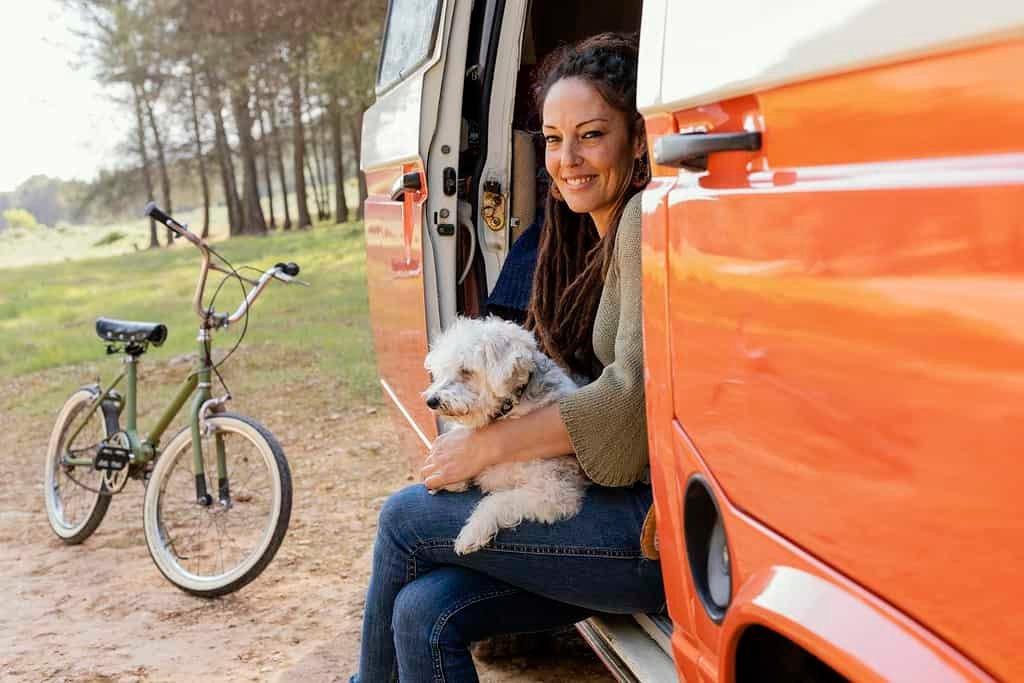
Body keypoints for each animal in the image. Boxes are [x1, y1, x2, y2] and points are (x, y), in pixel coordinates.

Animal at [421, 317, 589, 557]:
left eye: (466, 371)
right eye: (442, 370)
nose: (431, 401)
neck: (509, 411)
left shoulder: (553, 493)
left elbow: (497, 500)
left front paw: (473, 531)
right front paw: (452, 479)